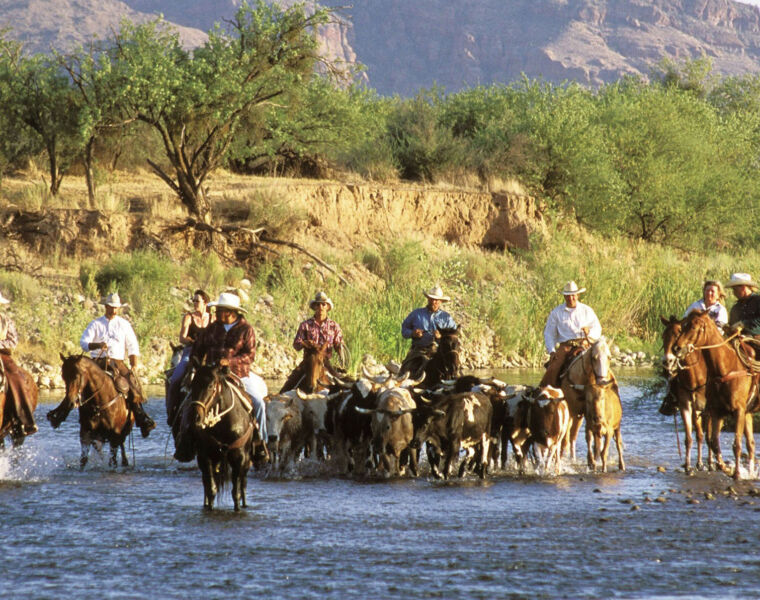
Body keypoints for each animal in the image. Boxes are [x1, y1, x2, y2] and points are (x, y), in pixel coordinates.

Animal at [187, 364, 258, 508]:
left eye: (210, 385)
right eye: (192, 384)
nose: (195, 417)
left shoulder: (240, 458)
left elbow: (236, 493)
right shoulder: (205, 457)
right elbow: (211, 490)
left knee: (243, 484)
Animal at [660, 314, 712, 474]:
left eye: (678, 334)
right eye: (663, 335)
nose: (668, 361)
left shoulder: (705, 408)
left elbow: (704, 435)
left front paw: (702, 463)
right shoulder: (686, 405)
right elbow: (690, 437)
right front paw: (689, 465)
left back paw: (711, 462)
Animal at [672, 312, 756, 480]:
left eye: (693, 327)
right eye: (683, 325)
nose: (676, 348)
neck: (726, 368)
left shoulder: (738, 411)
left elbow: (736, 445)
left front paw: (736, 474)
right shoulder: (717, 411)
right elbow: (714, 442)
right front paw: (725, 467)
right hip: (748, 413)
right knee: (750, 444)